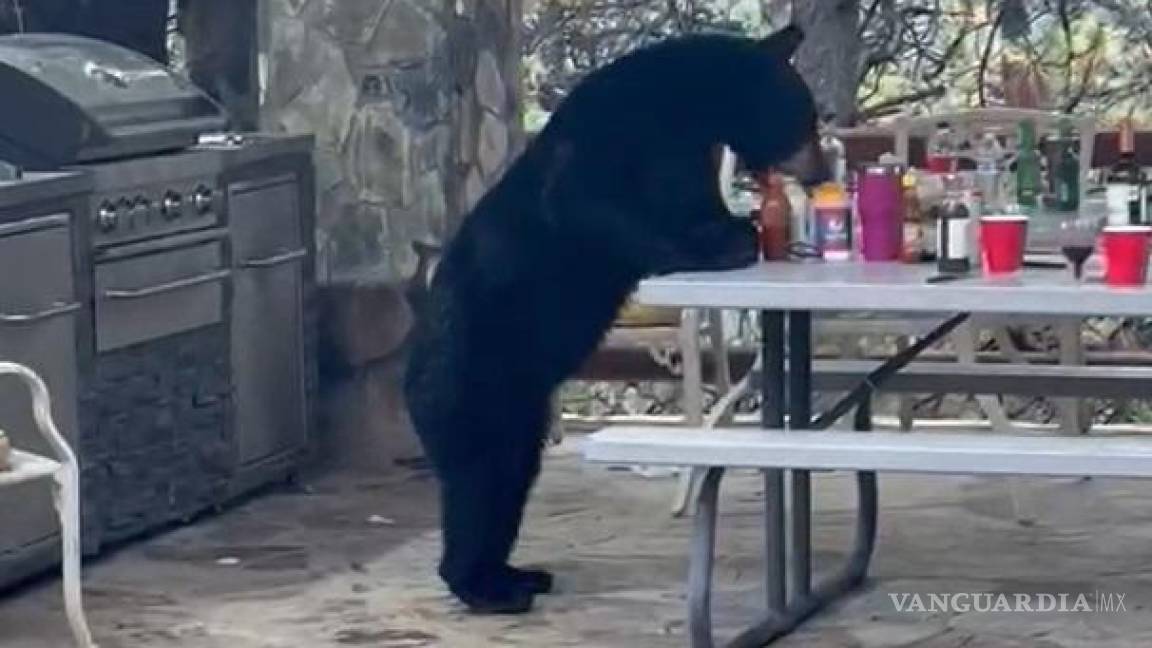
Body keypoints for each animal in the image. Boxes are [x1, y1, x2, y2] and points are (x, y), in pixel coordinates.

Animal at [405, 23, 829, 608]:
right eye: (807, 118)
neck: (690, 101)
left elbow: (689, 200)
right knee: (479, 479)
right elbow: (592, 202)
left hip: (518, 406)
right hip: (472, 377)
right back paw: (486, 586)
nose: (823, 168)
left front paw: (733, 228)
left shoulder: (688, 153)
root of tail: (409, 378)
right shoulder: (615, 131)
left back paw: (515, 574)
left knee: (509, 475)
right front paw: (723, 244)